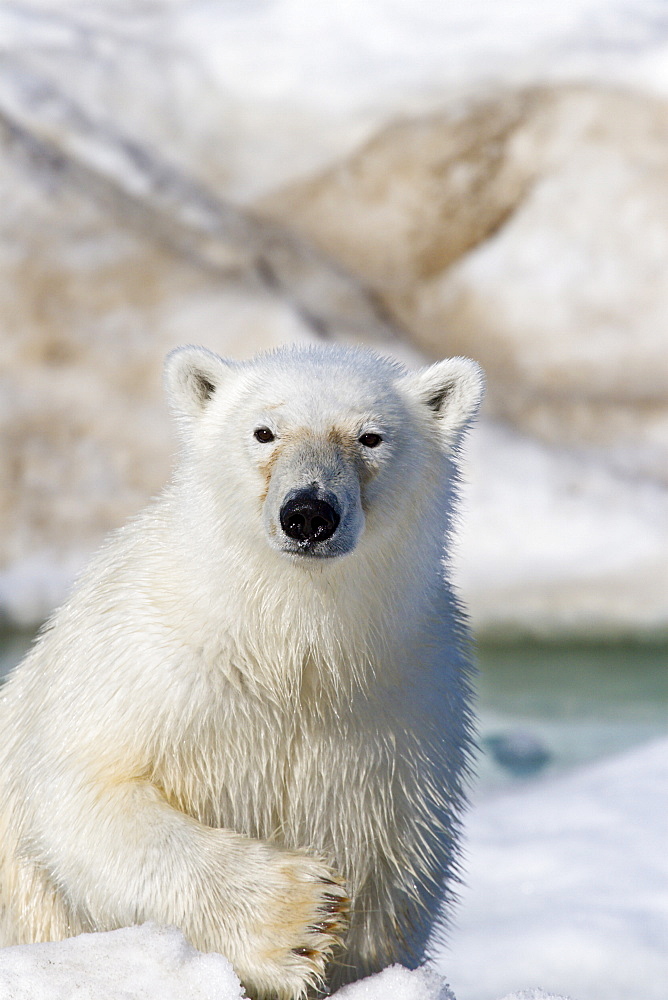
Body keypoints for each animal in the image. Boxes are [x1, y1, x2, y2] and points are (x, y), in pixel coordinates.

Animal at [0, 340, 482, 996]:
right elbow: (86, 801)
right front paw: (300, 916)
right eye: (264, 430)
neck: (283, 650)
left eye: (371, 436)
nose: (309, 513)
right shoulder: (143, 666)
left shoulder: (404, 713)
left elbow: (389, 885)